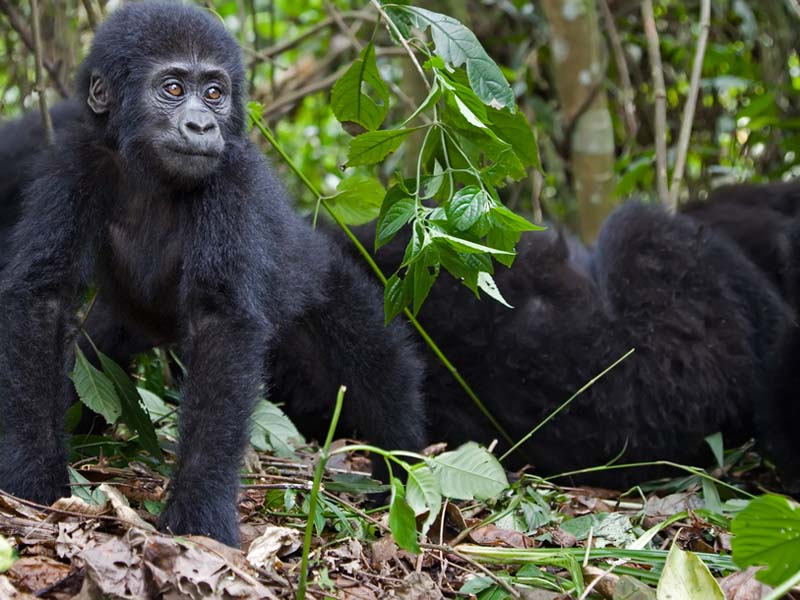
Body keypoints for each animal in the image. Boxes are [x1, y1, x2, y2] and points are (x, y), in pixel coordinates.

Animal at [0, 0, 424, 548]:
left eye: (215, 93)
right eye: (173, 88)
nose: (202, 126)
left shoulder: (231, 181)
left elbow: (221, 325)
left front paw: (199, 511)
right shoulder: (77, 162)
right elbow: (43, 298)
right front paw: (32, 471)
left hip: (323, 279)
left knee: (379, 367)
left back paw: (400, 472)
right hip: (125, 327)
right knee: (93, 354)